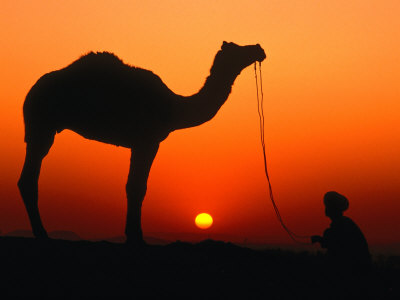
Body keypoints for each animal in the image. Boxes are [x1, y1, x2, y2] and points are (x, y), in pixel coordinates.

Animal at [18, 41, 266, 244]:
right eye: (238, 49)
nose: (259, 49)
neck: (173, 107)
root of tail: (31, 91)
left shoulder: (139, 143)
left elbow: (133, 186)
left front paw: (132, 235)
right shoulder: (148, 141)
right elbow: (137, 187)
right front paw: (136, 237)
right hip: (41, 125)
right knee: (29, 177)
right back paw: (42, 234)